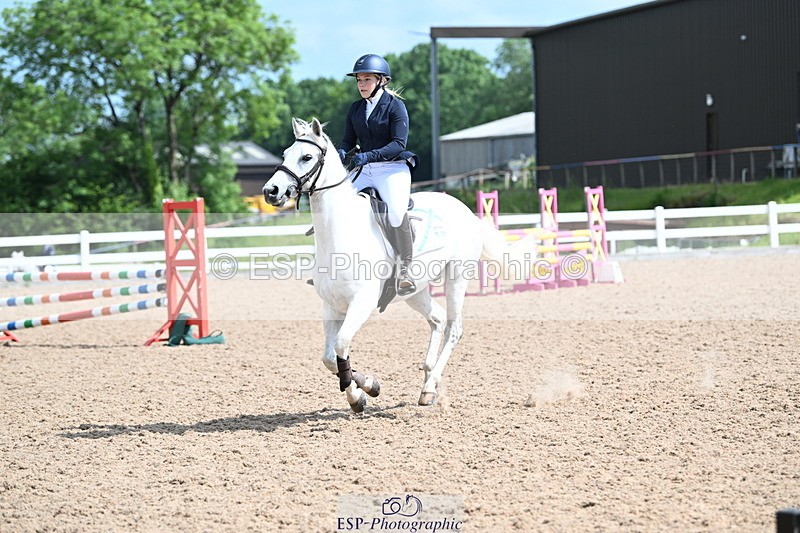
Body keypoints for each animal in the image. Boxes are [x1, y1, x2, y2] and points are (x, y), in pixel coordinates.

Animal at [262, 117, 533, 413]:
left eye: (307, 157)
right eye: (285, 154)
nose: (271, 191)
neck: (337, 231)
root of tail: (467, 212)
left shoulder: (362, 302)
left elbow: (342, 344)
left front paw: (362, 392)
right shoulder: (331, 306)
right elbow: (329, 357)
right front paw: (365, 390)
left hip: (457, 276)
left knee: (454, 328)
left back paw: (429, 387)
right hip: (415, 291)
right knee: (438, 319)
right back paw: (429, 381)